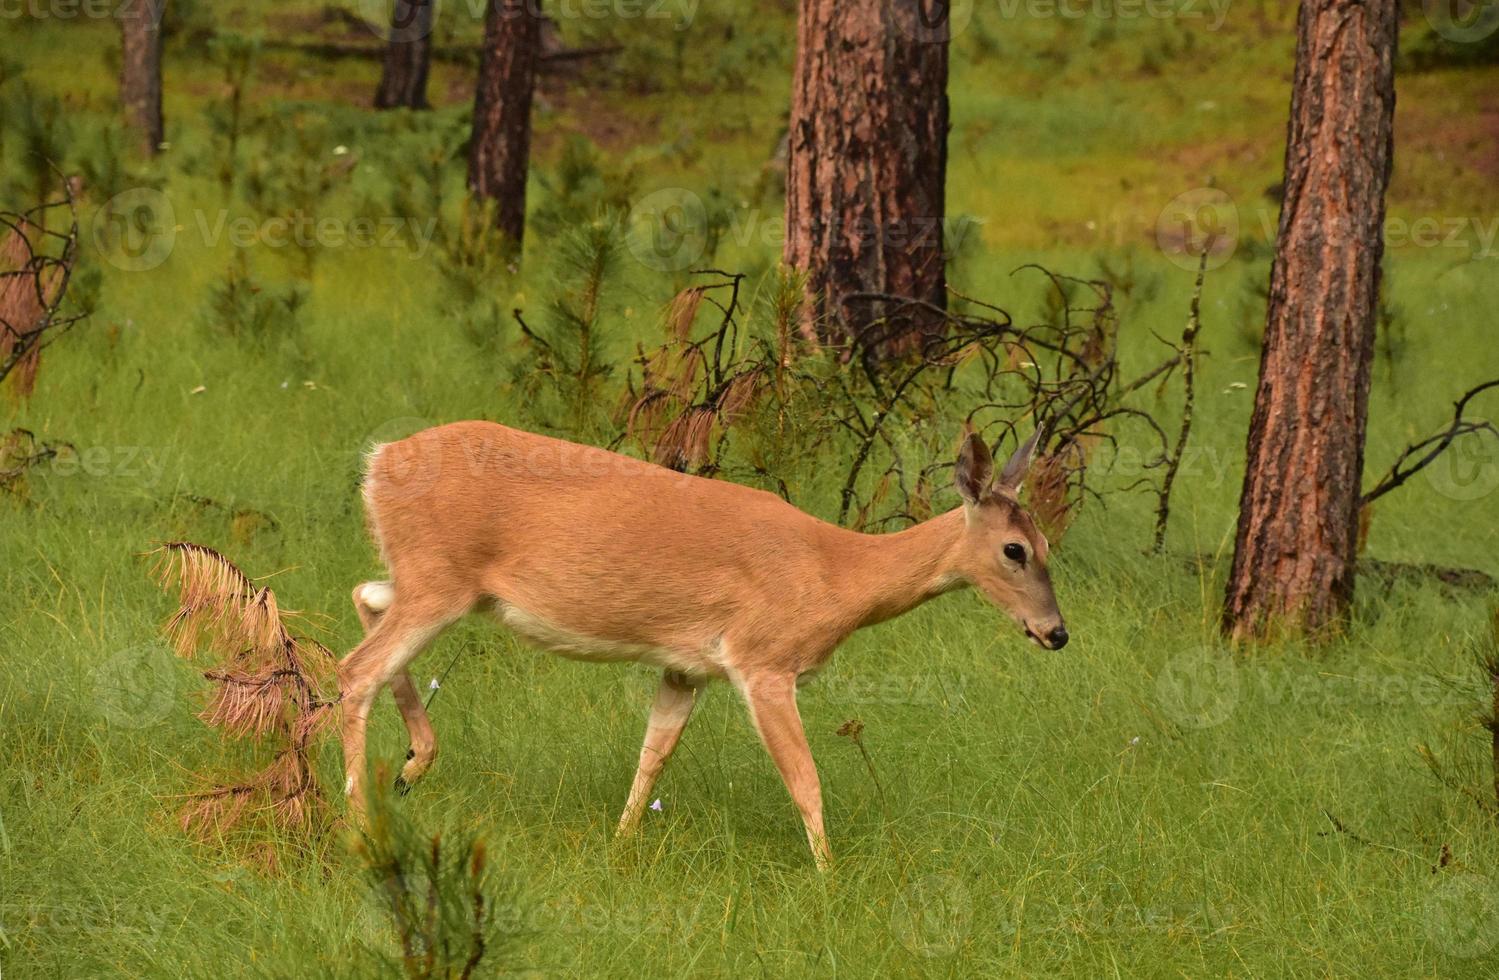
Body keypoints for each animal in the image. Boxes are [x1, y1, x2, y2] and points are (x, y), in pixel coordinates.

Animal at [340, 419, 1067, 869]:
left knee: (366, 599)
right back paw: (358, 821)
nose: (1056, 632)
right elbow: (805, 779)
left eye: (1049, 546)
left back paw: (413, 763)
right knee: (355, 671)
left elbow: (652, 756)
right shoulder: (762, 659)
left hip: (433, 580)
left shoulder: (683, 667)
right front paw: (830, 876)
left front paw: (620, 845)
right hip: (440, 578)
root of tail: (378, 462)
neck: (838, 576)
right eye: (1015, 550)